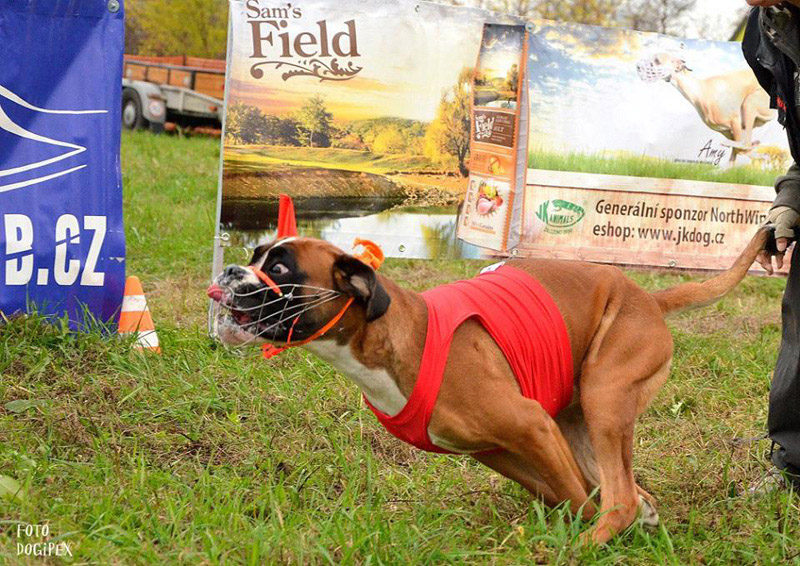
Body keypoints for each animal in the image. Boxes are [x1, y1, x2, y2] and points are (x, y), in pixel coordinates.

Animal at [209, 230, 772, 544]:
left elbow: (575, 496)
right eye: (256, 255)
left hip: (604, 397)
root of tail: (649, 298)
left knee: (617, 497)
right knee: (620, 484)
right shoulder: (497, 448)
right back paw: (637, 513)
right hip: (581, 419)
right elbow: (562, 492)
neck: (390, 338)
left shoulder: (530, 425)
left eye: (280, 268)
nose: (232, 270)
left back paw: (595, 540)